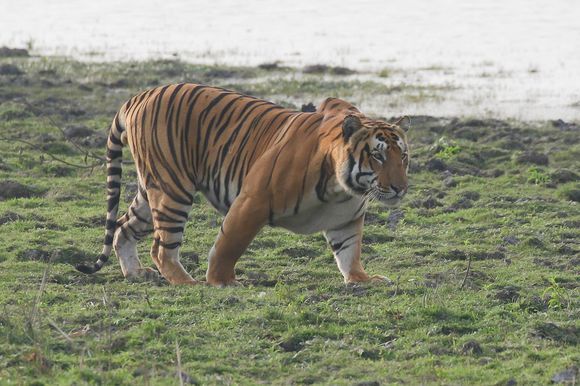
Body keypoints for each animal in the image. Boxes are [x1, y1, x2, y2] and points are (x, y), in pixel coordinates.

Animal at [75, 82, 410, 286]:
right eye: (378, 156)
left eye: (403, 156)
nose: (400, 188)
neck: (342, 190)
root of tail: (139, 96)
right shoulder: (254, 199)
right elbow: (228, 245)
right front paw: (221, 281)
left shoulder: (346, 217)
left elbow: (349, 251)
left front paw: (361, 280)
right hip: (173, 190)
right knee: (161, 247)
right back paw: (189, 283)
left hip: (153, 189)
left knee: (122, 226)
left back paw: (135, 273)